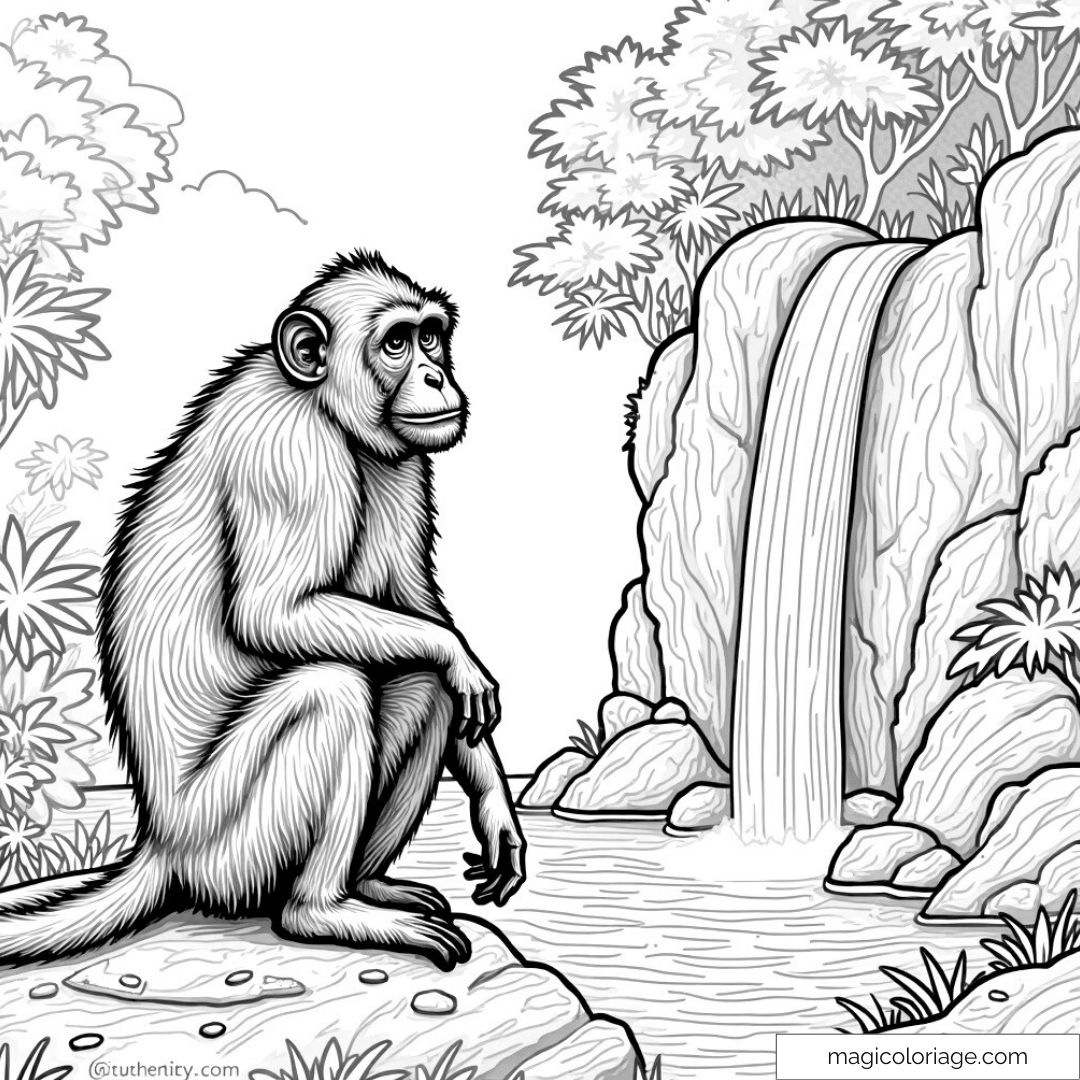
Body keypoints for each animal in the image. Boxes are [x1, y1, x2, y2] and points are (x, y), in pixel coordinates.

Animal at [0, 250, 526, 971]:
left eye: (431, 337)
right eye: (397, 342)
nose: (436, 374)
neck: (323, 403)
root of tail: (162, 847)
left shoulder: (402, 465)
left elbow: (418, 611)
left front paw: (494, 803)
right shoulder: (292, 454)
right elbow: (273, 615)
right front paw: (462, 659)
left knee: (419, 683)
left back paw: (369, 884)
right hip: (229, 844)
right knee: (333, 691)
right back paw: (322, 910)